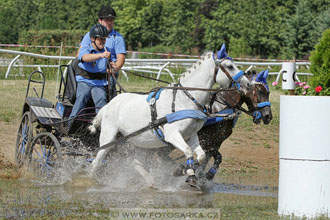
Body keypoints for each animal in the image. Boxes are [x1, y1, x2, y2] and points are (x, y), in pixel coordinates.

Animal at [87, 43, 250, 185]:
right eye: (230, 66)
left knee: (135, 162)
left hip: (138, 142)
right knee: (97, 161)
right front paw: (188, 174)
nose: (248, 84)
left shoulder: (191, 135)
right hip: (108, 137)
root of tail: (109, 104)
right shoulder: (172, 134)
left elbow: (200, 156)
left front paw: (183, 170)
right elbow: (188, 151)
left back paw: (151, 182)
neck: (184, 99)